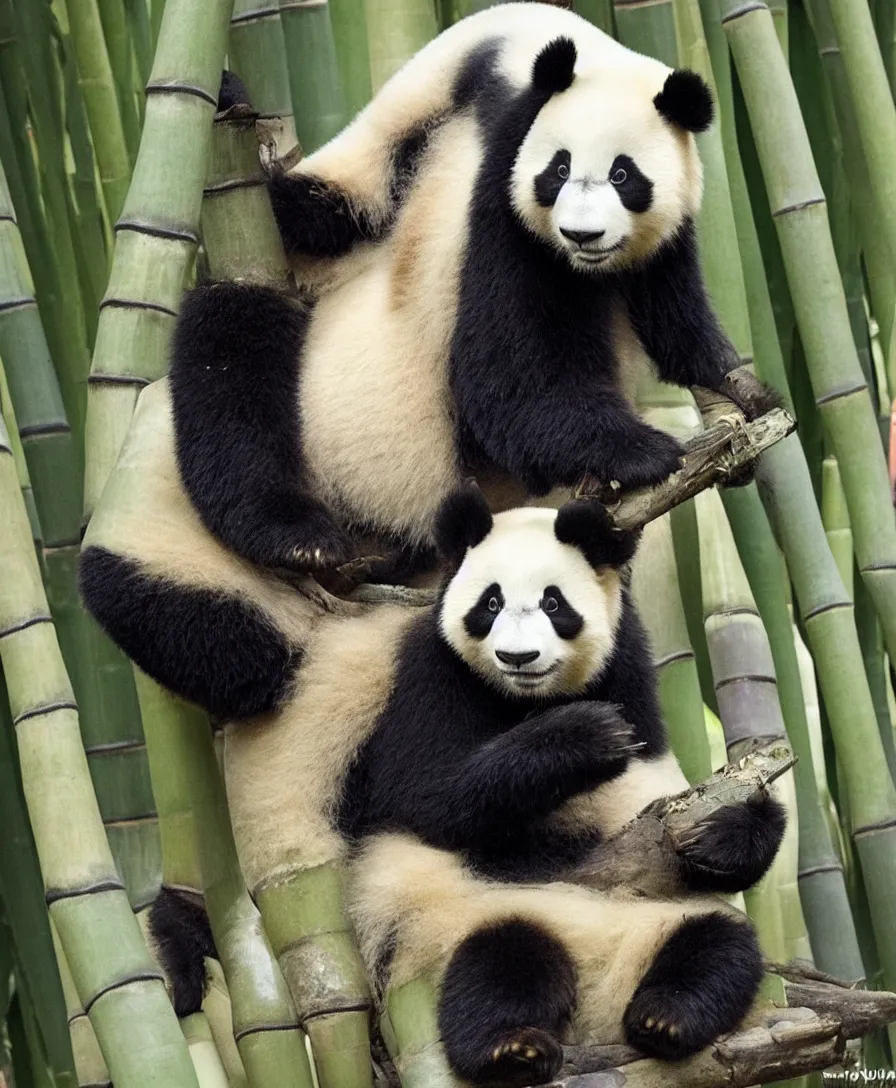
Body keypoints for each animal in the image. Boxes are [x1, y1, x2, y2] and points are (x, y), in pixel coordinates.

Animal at [167, 4, 778, 583]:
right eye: (559, 169)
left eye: (624, 176)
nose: (581, 235)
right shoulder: (499, 172)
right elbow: (509, 370)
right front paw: (643, 452)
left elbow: (674, 309)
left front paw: (741, 391)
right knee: (231, 347)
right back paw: (295, 536)